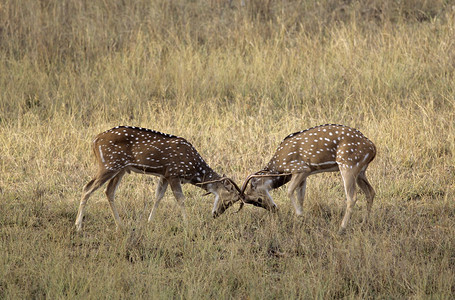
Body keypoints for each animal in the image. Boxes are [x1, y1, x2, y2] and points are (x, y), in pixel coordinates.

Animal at [76, 125, 251, 231]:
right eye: (230, 198)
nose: (216, 214)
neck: (193, 169)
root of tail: (94, 141)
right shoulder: (174, 173)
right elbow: (181, 199)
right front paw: (188, 224)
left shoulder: (164, 175)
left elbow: (158, 197)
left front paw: (149, 222)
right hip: (109, 165)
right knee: (87, 187)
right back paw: (78, 226)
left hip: (120, 169)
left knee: (109, 191)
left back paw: (120, 225)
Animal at [240, 124, 376, 234]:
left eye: (258, 199)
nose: (274, 209)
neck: (280, 165)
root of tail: (373, 148)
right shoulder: (305, 175)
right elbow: (301, 197)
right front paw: (301, 220)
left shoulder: (301, 169)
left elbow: (289, 191)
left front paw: (300, 216)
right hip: (360, 172)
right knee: (371, 192)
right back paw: (364, 224)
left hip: (349, 166)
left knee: (352, 198)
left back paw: (341, 229)